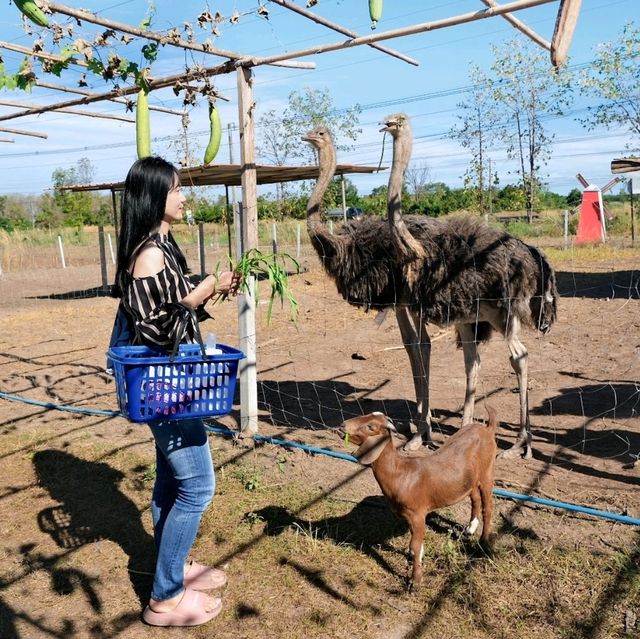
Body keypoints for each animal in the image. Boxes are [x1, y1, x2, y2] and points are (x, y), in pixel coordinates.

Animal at [342, 410, 498, 592]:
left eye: (371, 426)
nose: (343, 425)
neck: (400, 473)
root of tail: (487, 429)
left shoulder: (417, 513)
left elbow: (414, 546)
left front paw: (415, 581)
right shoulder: (410, 515)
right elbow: (415, 543)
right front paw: (419, 559)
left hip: (488, 472)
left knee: (488, 507)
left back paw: (484, 544)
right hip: (470, 479)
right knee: (474, 497)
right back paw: (470, 528)